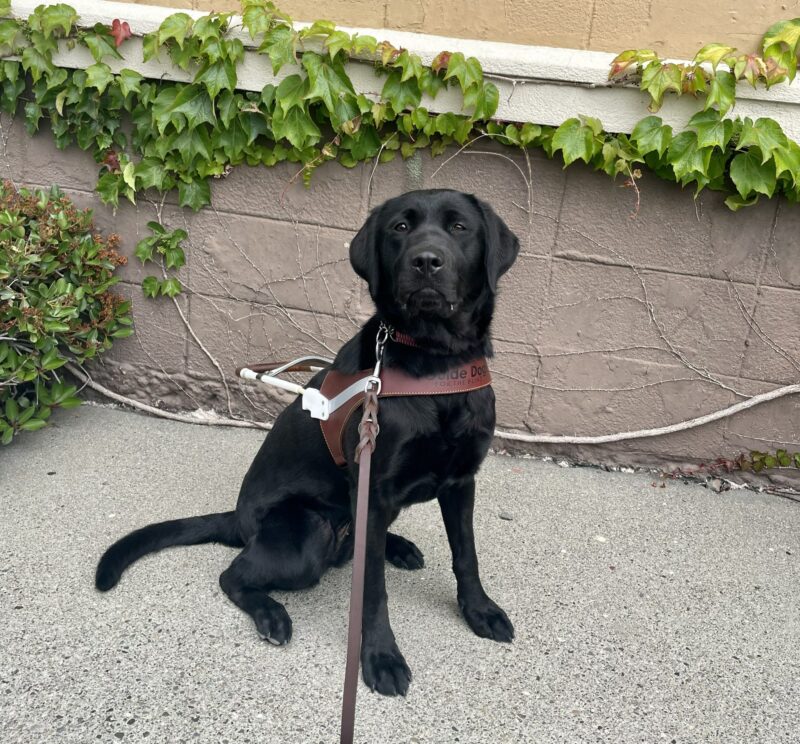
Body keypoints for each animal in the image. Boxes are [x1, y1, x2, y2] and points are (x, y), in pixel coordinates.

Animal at [95, 187, 520, 696]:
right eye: (400, 227)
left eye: (459, 227)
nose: (425, 261)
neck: (436, 367)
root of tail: (238, 518)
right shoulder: (373, 488)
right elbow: (372, 590)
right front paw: (381, 657)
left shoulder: (461, 482)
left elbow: (466, 555)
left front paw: (479, 611)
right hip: (309, 532)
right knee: (232, 574)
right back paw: (272, 614)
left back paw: (398, 546)